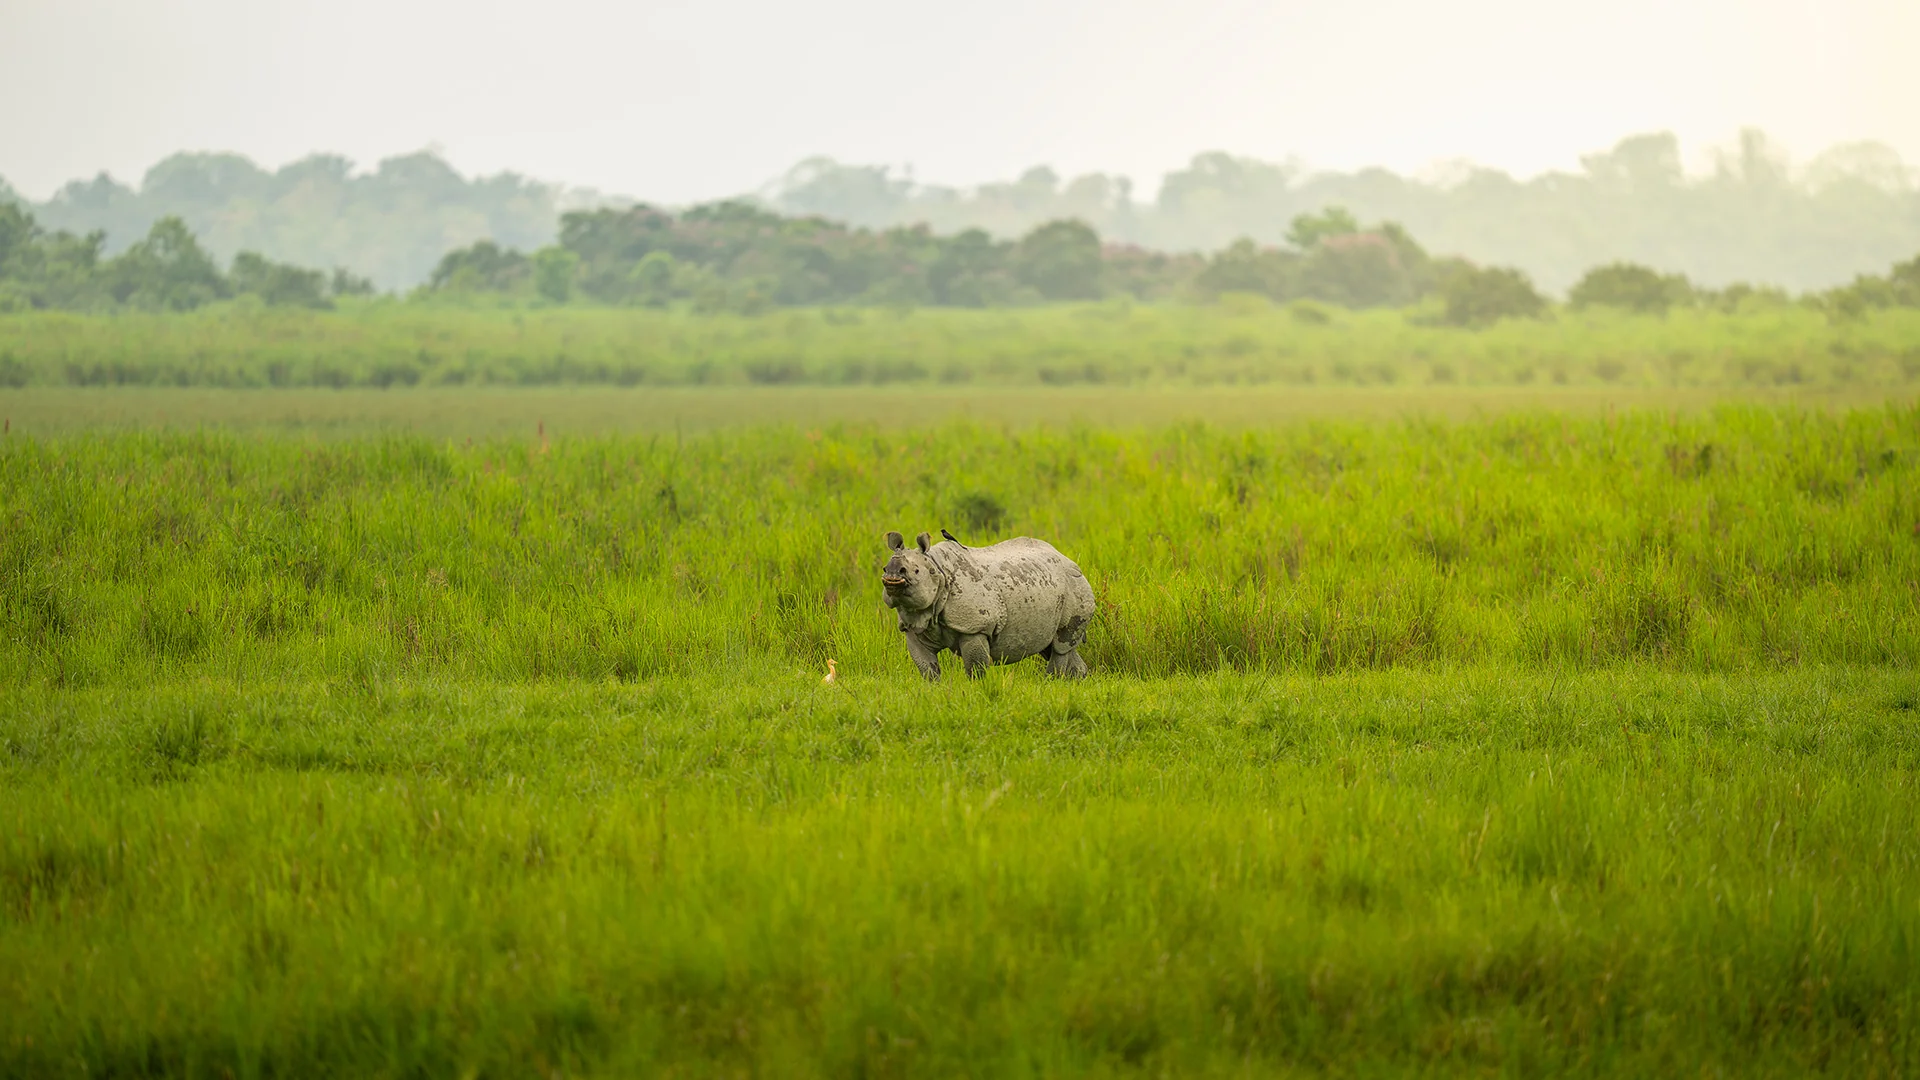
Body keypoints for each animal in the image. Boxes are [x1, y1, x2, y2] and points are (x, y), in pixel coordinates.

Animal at [881, 529, 1095, 681]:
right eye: (884, 568)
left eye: (916, 571)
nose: (892, 575)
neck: (936, 571)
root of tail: (1071, 562)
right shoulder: (913, 626)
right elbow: (927, 669)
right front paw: (933, 691)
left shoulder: (975, 627)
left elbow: (976, 668)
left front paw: (977, 690)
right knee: (1052, 646)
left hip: (1075, 585)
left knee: (1061, 644)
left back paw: (1050, 682)